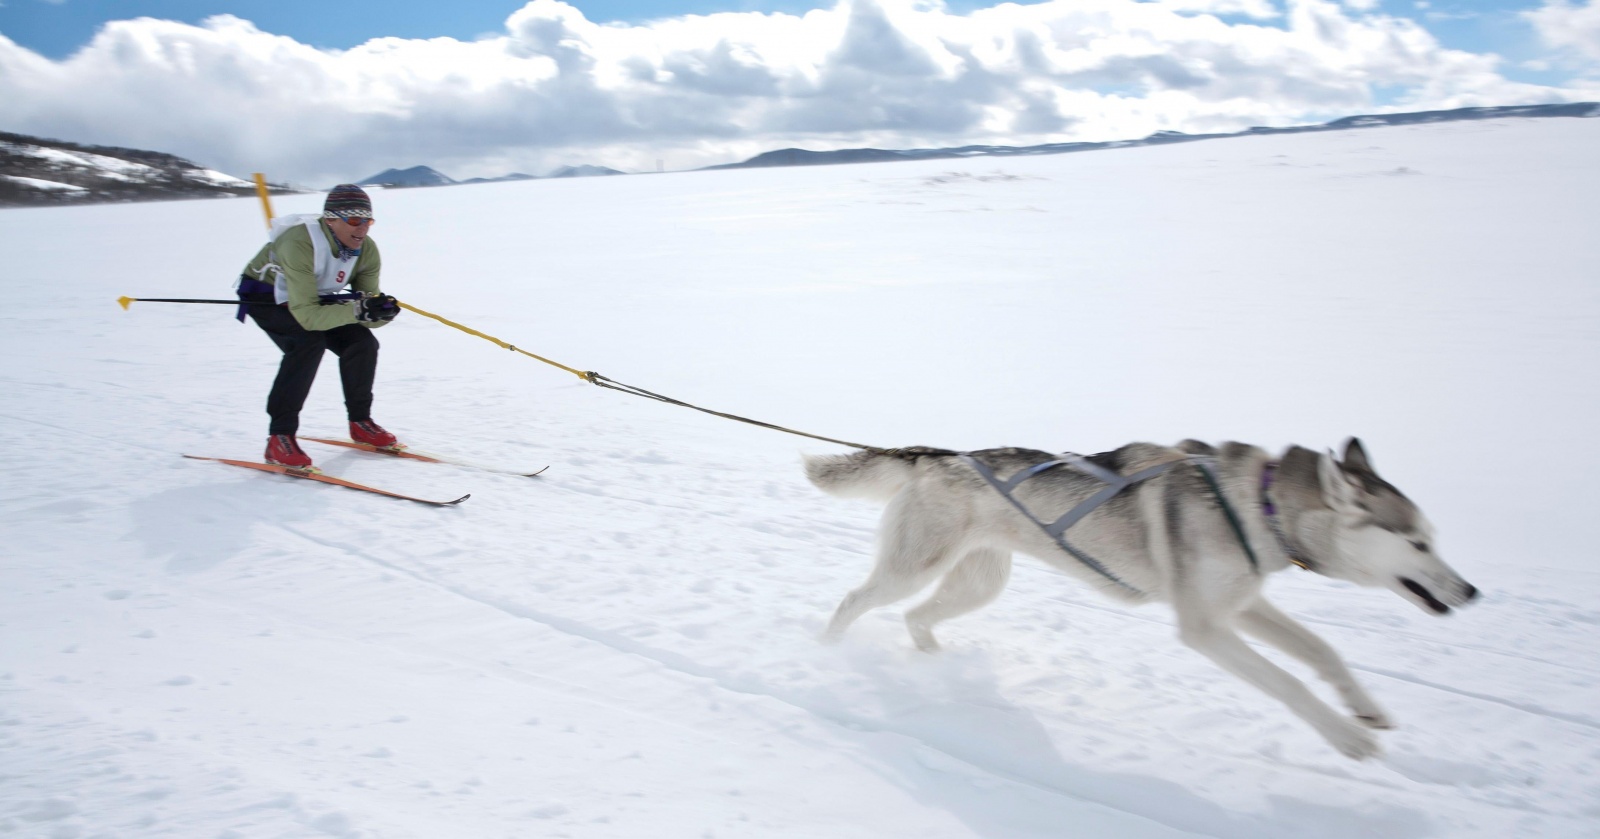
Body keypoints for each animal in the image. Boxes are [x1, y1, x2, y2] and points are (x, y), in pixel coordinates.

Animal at [806, 438, 1478, 758]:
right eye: (1417, 542)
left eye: (1434, 537)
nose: (1471, 590)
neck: (1260, 507)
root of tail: (936, 456)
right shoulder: (1206, 626)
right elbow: (1289, 682)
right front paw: (1347, 738)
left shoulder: (1241, 606)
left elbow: (1322, 652)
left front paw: (1365, 710)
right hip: (912, 570)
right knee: (852, 602)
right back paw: (827, 655)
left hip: (977, 583)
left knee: (917, 617)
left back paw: (935, 662)